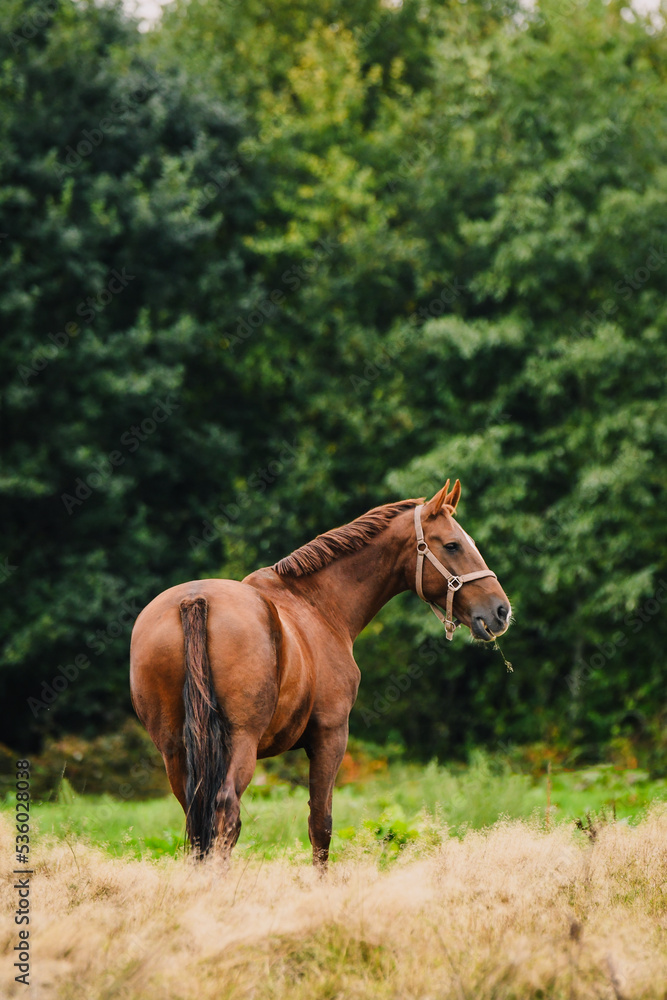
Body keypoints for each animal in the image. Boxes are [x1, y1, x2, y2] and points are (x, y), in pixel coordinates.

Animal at [129, 479, 511, 869]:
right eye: (452, 545)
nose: (500, 611)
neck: (318, 604)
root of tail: (195, 600)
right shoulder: (330, 736)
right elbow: (321, 825)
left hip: (175, 751)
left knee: (197, 823)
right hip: (240, 743)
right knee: (225, 814)